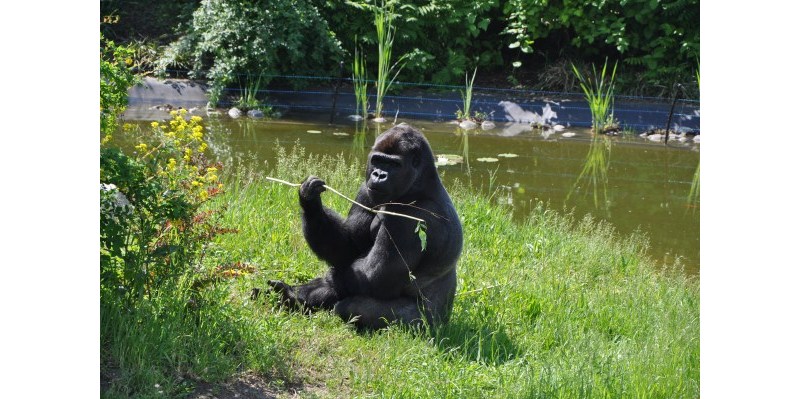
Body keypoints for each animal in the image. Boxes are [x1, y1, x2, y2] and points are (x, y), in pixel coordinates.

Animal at [264, 125, 462, 332]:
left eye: (394, 164)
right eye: (378, 160)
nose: (379, 175)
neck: (419, 186)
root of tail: (444, 322)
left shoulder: (409, 219)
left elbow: (376, 279)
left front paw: (327, 281)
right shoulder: (365, 190)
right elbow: (348, 248)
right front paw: (310, 200)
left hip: (424, 326)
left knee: (350, 306)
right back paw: (290, 298)